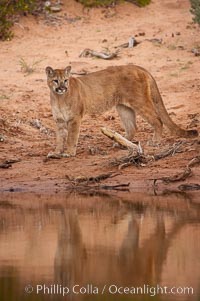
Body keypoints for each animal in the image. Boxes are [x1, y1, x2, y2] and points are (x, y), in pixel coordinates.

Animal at [45, 63, 197, 157]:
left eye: (65, 80)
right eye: (55, 80)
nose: (62, 88)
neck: (59, 98)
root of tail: (139, 67)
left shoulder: (75, 118)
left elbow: (71, 137)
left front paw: (69, 153)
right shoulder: (59, 121)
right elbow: (60, 138)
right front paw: (56, 152)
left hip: (140, 102)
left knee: (157, 120)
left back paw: (155, 142)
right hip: (123, 107)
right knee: (132, 127)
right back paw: (121, 144)